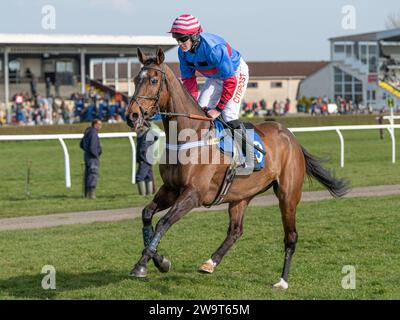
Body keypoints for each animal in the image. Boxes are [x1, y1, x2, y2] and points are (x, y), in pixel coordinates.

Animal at [126, 47, 348, 290]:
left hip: (288, 195)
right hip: (241, 195)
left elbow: (163, 222)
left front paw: (145, 264)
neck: (190, 135)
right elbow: (147, 215)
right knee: (236, 231)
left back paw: (282, 280)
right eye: (136, 79)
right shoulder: (171, 189)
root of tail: (291, 137)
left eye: (153, 80)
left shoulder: (193, 194)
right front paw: (157, 260)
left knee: (291, 236)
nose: (132, 115)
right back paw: (210, 263)